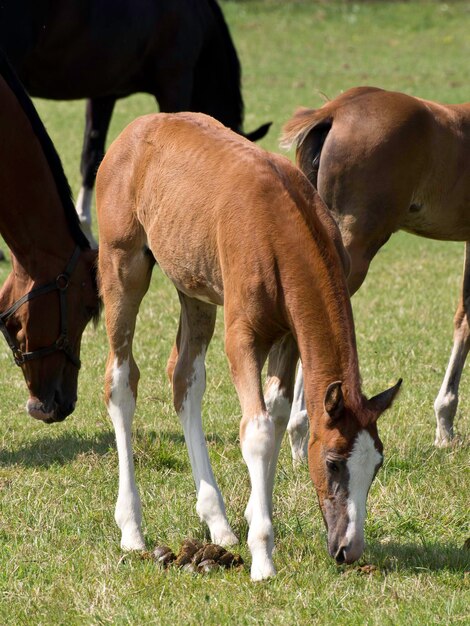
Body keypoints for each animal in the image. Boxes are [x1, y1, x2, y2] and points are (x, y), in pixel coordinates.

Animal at [96, 109, 400, 576]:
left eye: (377, 464)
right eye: (332, 462)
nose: (348, 548)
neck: (280, 226)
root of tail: (137, 128)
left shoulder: (289, 336)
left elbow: (275, 417)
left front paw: (255, 517)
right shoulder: (242, 337)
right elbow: (256, 431)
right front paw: (262, 558)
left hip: (195, 288)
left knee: (184, 380)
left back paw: (217, 523)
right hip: (122, 268)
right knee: (121, 382)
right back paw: (131, 528)